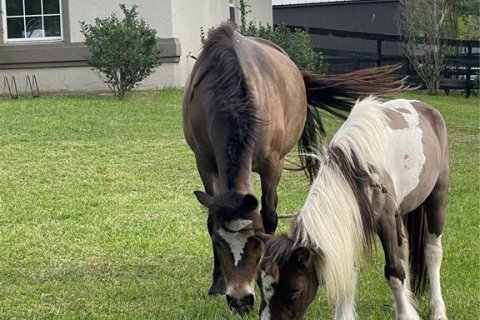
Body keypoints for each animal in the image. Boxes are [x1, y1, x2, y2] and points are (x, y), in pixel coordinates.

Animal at [182, 23, 404, 314]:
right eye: (219, 242)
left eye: (256, 242)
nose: (240, 301)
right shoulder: (205, 164)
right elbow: (211, 216)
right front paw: (217, 284)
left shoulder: (272, 165)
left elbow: (269, 216)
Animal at [258, 97, 450, 320]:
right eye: (260, 287)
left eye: (292, 295)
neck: (356, 170)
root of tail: (424, 106)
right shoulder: (352, 223)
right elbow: (349, 276)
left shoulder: (385, 221)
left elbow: (394, 272)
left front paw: (405, 315)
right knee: (404, 247)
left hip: (436, 197)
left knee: (432, 252)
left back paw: (437, 309)